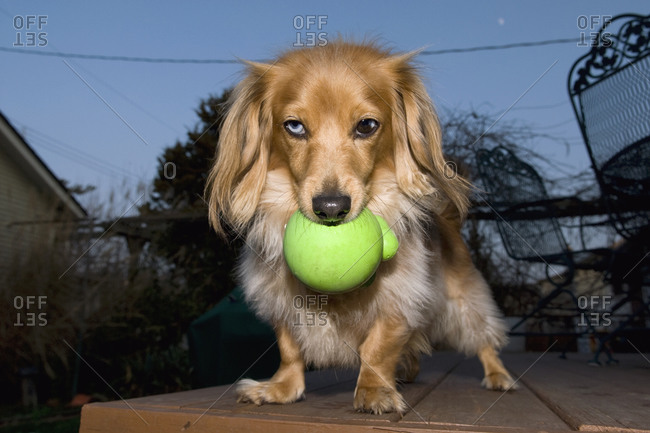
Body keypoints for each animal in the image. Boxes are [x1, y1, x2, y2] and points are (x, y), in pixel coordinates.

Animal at [205, 39, 512, 412]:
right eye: (294, 127)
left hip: (462, 301)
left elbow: (378, 347)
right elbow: (290, 349)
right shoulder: (281, 301)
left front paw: (374, 390)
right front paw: (281, 388)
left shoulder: (400, 298)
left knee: (483, 338)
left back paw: (498, 375)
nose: (331, 208)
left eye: (366, 125)